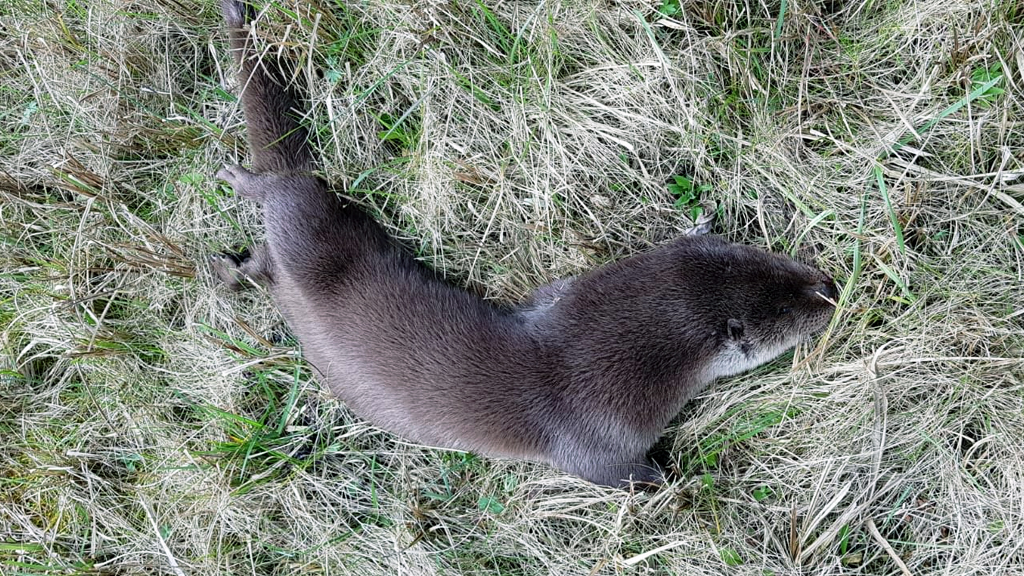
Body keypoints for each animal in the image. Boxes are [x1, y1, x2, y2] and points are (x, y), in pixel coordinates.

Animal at [212, 0, 837, 488]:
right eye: (788, 309)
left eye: (773, 259)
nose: (830, 288)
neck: (587, 359)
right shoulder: (596, 439)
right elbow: (619, 475)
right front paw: (677, 481)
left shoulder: (558, 297)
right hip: (311, 222)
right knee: (277, 191)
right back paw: (233, 189)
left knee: (266, 247)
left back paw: (229, 262)